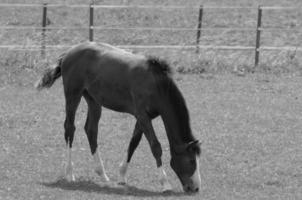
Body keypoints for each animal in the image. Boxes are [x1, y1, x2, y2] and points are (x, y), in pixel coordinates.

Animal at [34, 41, 201, 193]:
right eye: (192, 161)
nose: (195, 188)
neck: (155, 84)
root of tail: (67, 54)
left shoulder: (143, 118)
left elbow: (134, 142)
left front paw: (122, 176)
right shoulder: (143, 116)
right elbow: (155, 147)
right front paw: (165, 183)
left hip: (93, 100)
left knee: (91, 130)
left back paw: (102, 174)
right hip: (73, 95)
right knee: (70, 128)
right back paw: (70, 173)